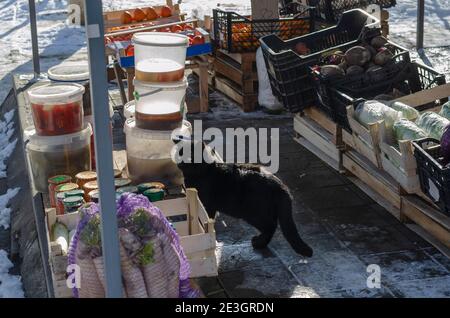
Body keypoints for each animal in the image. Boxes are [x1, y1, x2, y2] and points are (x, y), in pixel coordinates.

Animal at [176, 143, 312, 258]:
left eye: (191, 157)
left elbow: (205, 219)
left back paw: (258, 243)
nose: (182, 162)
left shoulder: (207, 205)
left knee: (271, 226)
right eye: (180, 153)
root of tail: (281, 185)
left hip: (253, 214)